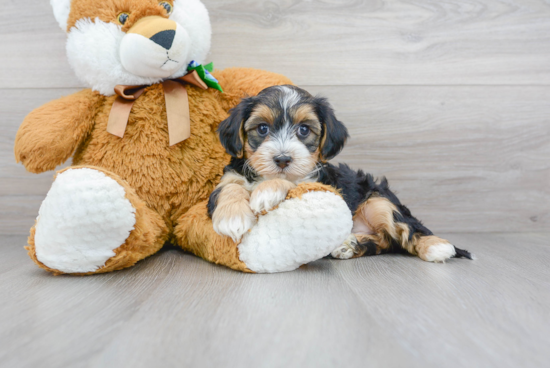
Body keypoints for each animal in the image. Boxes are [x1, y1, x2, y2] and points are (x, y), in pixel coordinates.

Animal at [208, 86, 474, 262]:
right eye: (262, 129)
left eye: (304, 130)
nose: (283, 159)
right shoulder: (228, 178)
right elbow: (230, 187)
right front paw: (232, 218)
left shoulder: (320, 182)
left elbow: (294, 183)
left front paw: (267, 191)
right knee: (387, 241)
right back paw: (350, 245)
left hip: (379, 200)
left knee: (405, 230)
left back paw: (436, 246)